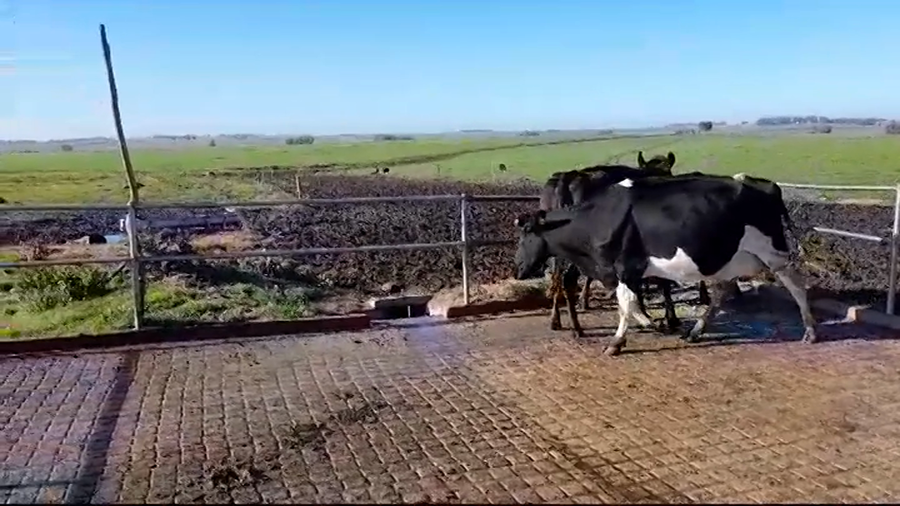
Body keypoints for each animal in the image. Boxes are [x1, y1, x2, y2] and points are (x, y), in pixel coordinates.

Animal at [514, 173, 816, 356]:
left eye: (526, 233)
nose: (517, 268)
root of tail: (766, 184)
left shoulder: (626, 265)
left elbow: (627, 303)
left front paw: (616, 342)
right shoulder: (623, 271)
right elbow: (632, 303)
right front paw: (652, 323)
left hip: (772, 251)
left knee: (795, 284)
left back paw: (811, 330)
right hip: (733, 256)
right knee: (722, 291)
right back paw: (695, 331)